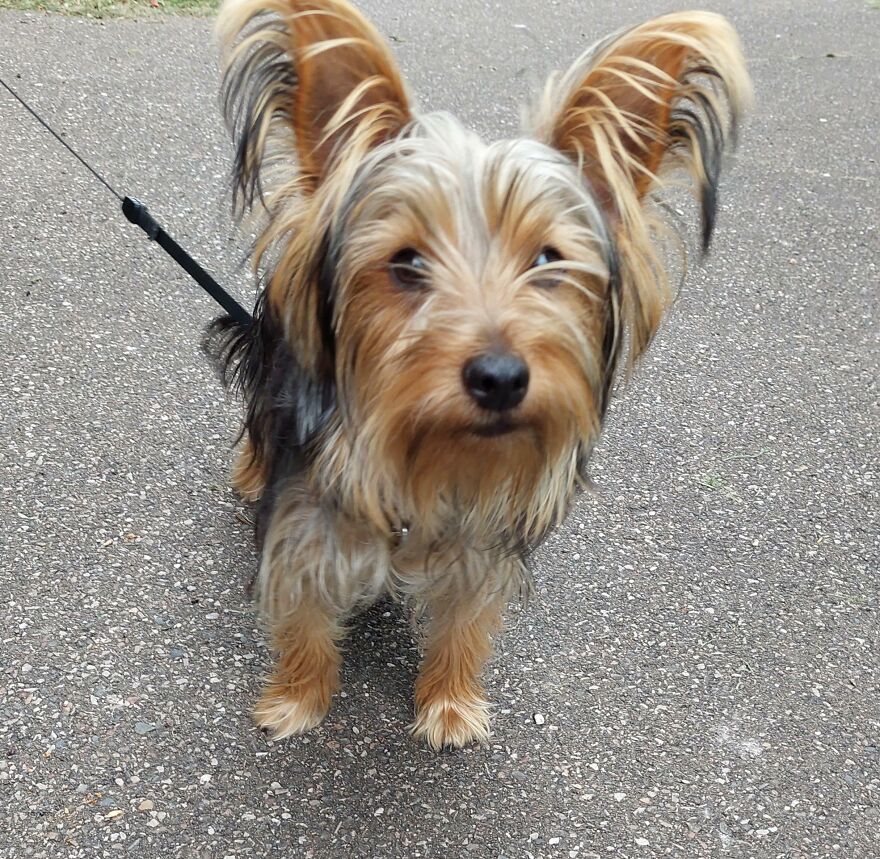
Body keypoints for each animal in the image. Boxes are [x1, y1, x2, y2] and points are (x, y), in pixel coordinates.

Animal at [206, 0, 748, 744]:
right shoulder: (303, 525)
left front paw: (450, 703)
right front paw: (298, 699)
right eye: (406, 262)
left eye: (548, 259)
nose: (500, 377)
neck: (428, 459)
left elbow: (464, 622)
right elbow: (304, 616)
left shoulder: (481, 543)